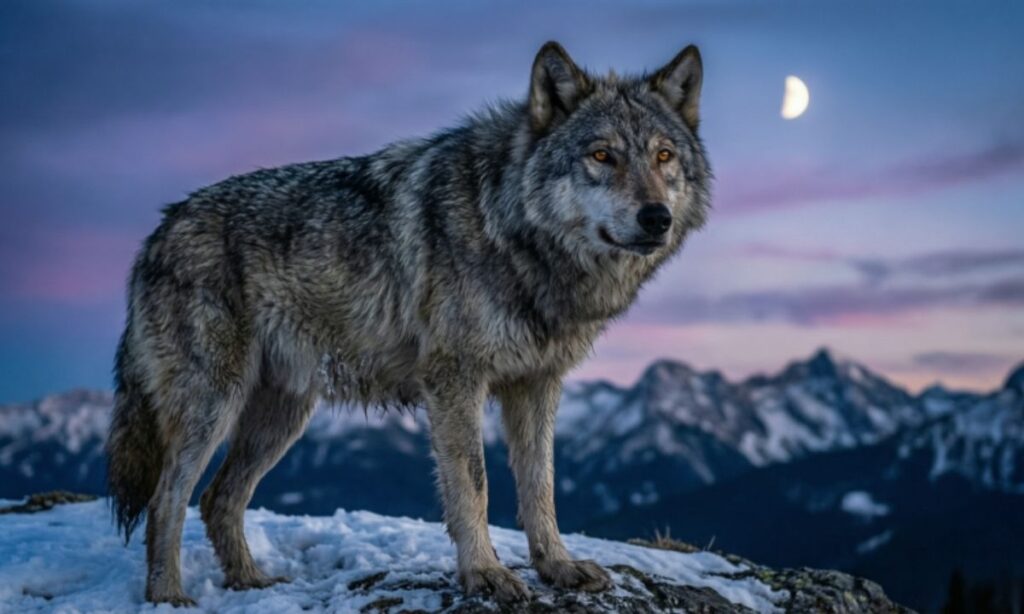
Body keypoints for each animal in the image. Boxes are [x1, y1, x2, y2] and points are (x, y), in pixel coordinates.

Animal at [105, 40, 709, 605]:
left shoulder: (537, 384)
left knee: (219, 498)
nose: (656, 218)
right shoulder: (455, 381)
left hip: (282, 415)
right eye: (602, 155)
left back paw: (251, 582)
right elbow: (474, 484)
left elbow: (541, 486)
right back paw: (167, 595)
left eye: (663, 155)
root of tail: (156, 232)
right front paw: (485, 573)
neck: (511, 230)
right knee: (167, 498)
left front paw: (557, 566)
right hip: (214, 405)